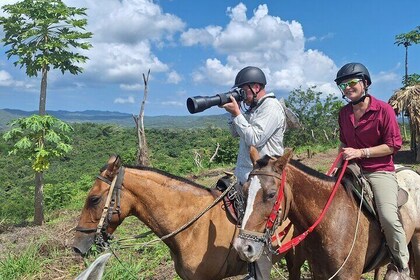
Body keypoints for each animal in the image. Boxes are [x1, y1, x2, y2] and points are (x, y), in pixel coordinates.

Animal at [233, 148, 420, 278]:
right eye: (244, 190)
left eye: (271, 194)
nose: (243, 247)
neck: (331, 222)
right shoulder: (319, 274)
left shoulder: (349, 275)